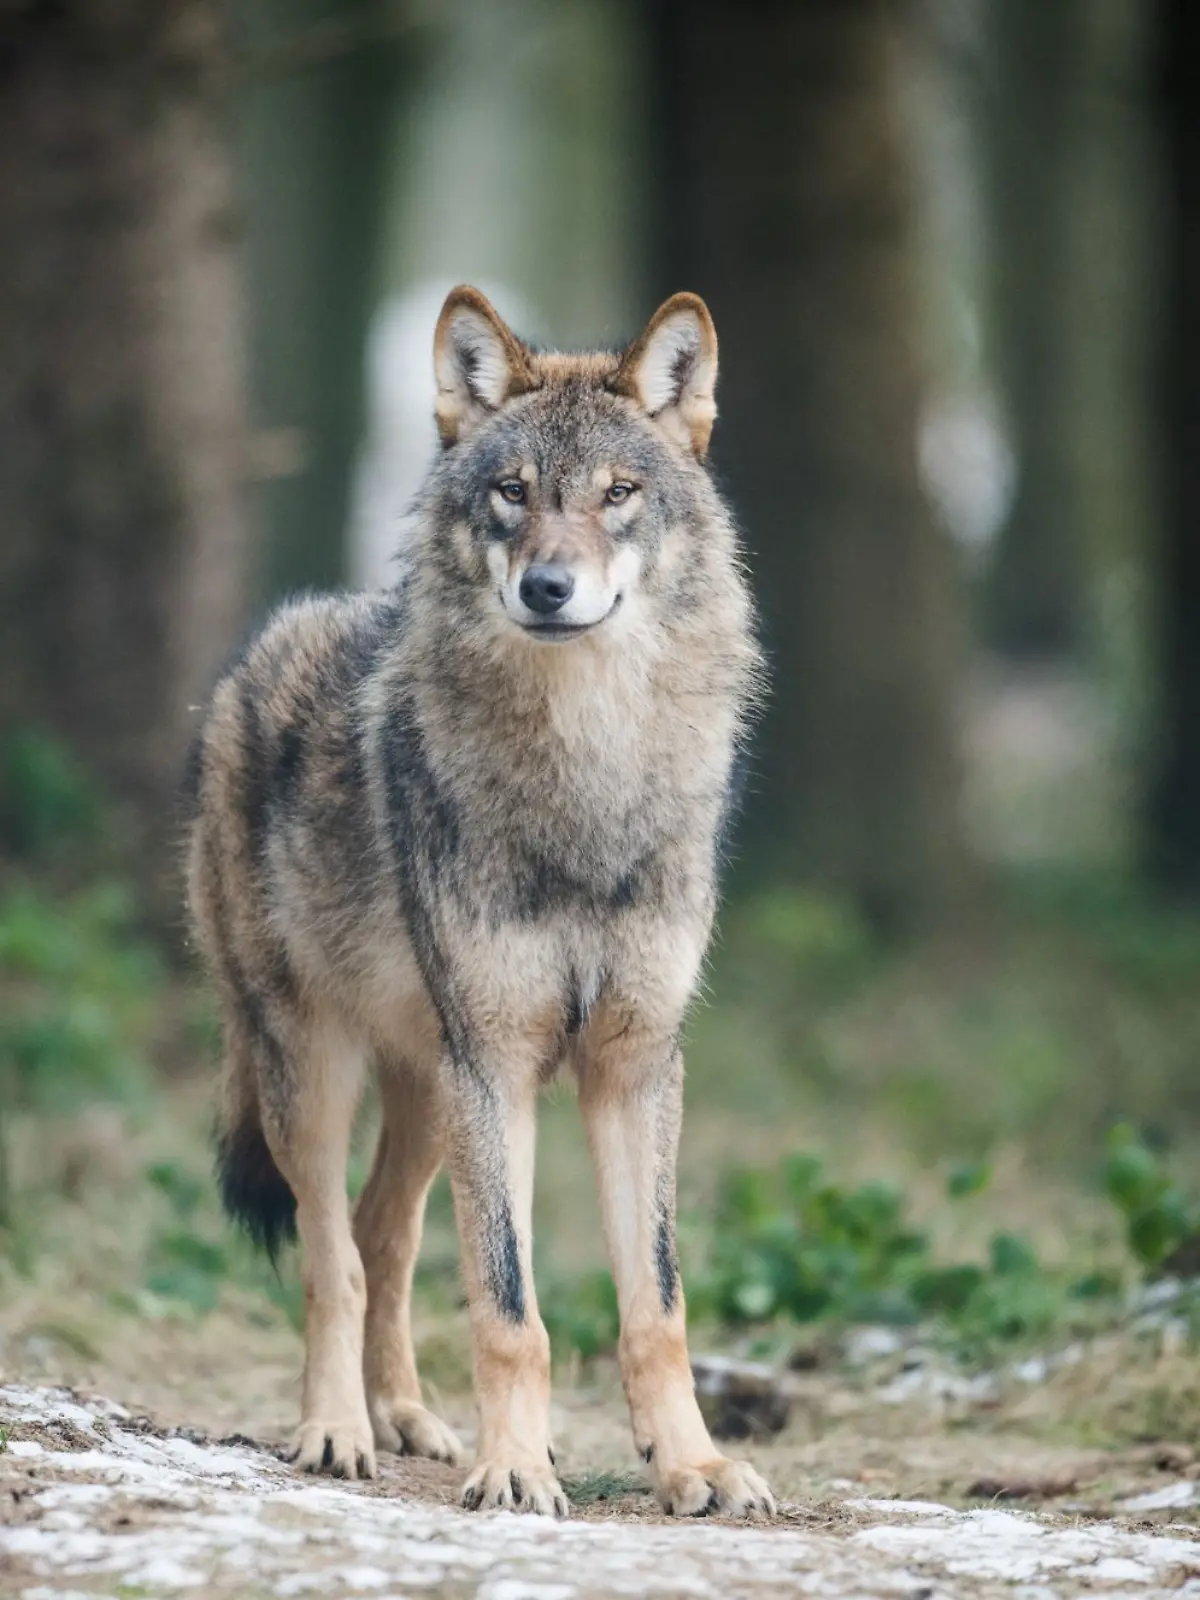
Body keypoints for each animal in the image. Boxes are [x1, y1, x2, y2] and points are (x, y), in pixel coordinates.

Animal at [184, 285, 773, 1519]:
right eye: (513, 492)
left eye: (616, 494)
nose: (548, 587)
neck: (587, 776)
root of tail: (248, 661)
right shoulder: (496, 1062)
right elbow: (511, 1306)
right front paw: (517, 1468)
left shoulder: (635, 1063)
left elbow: (657, 1302)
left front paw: (691, 1465)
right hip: (318, 1070)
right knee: (333, 1255)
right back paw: (335, 1429)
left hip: (424, 1090)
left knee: (385, 1236)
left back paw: (404, 1416)